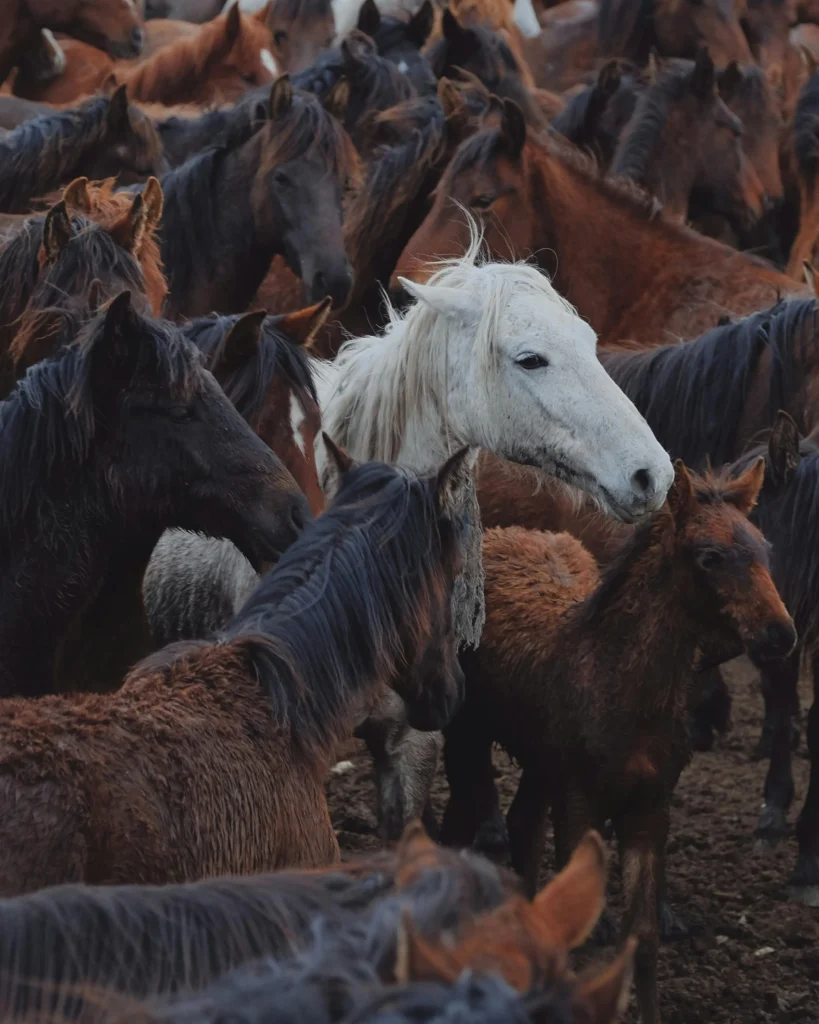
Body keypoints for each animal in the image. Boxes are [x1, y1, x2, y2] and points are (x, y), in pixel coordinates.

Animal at [443, 459, 796, 1024]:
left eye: (763, 548)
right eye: (710, 557)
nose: (781, 634)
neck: (624, 693)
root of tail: (500, 534)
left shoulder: (650, 807)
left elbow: (643, 937)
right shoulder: (579, 803)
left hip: (541, 763)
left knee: (522, 825)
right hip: (468, 736)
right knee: (459, 824)